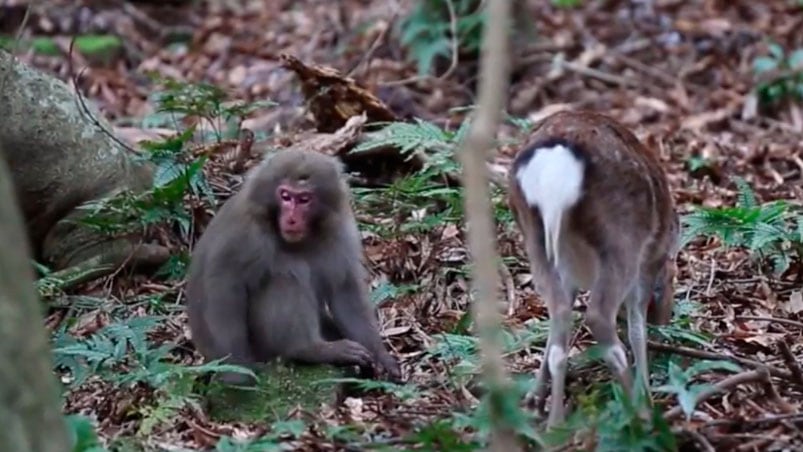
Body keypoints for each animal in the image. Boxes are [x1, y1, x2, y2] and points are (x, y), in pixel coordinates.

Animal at [187, 148, 402, 384]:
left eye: (304, 199)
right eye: (285, 196)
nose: (291, 219)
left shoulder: (338, 229)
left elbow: (344, 288)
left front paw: (380, 355)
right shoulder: (245, 231)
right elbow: (223, 286)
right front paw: (236, 370)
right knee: (286, 275)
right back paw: (308, 349)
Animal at [508, 109, 680, 428]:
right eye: (672, 278)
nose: (664, 319)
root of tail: (554, 169)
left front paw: (534, 399)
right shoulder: (644, 267)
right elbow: (637, 329)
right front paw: (647, 396)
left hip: (535, 239)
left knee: (560, 321)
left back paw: (554, 422)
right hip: (621, 241)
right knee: (599, 317)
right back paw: (640, 415)